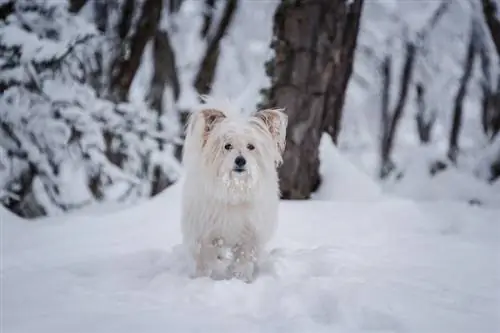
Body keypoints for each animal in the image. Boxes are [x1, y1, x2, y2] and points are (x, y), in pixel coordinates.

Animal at [182, 100, 288, 282]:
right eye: (227, 146)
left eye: (250, 146)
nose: (240, 160)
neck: (234, 190)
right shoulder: (205, 231)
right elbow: (208, 254)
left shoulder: (249, 234)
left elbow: (244, 258)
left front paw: (241, 278)